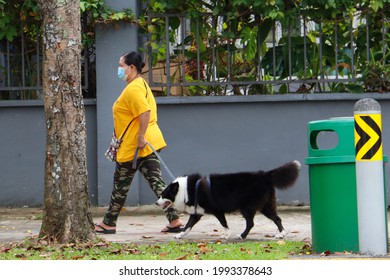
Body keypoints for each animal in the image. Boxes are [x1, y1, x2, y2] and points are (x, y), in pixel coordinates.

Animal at [156, 161, 302, 240]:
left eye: (163, 194)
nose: (156, 203)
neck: (186, 190)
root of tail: (265, 175)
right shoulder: (196, 213)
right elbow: (188, 226)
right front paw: (179, 235)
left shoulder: (217, 210)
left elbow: (224, 223)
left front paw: (226, 235)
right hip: (266, 205)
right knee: (276, 219)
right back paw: (281, 235)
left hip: (247, 207)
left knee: (251, 223)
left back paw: (242, 236)